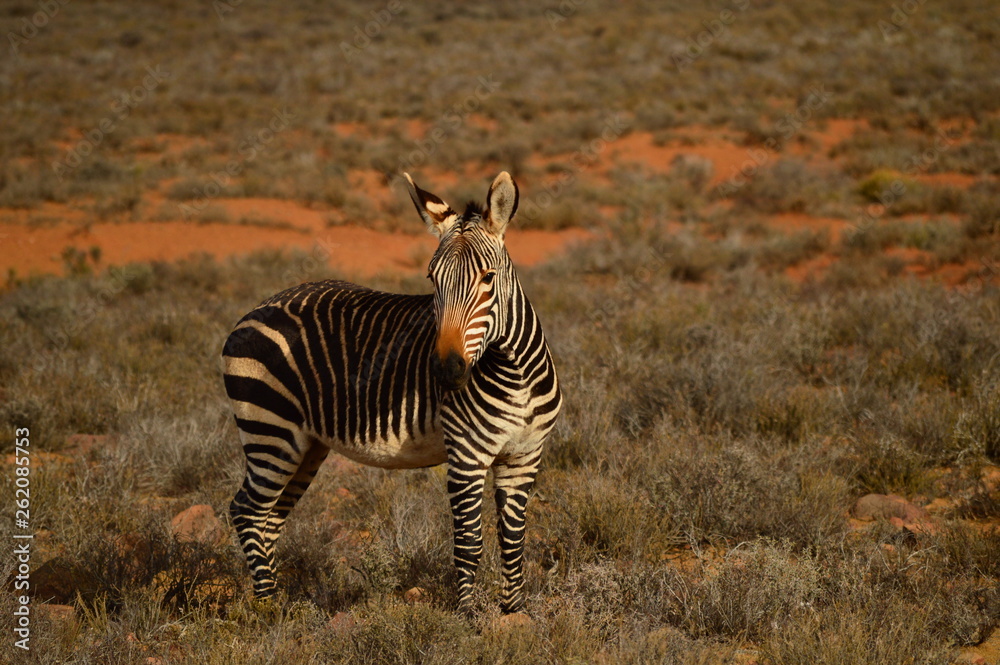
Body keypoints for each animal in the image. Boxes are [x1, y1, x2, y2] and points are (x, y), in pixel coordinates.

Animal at [222, 172, 562, 614]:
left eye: (488, 278)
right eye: (433, 280)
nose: (445, 370)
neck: (516, 373)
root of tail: (257, 308)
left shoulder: (524, 456)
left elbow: (513, 541)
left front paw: (513, 613)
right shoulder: (466, 455)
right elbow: (469, 543)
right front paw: (468, 617)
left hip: (304, 445)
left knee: (270, 518)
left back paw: (279, 602)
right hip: (269, 430)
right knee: (246, 510)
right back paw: (268, 608)